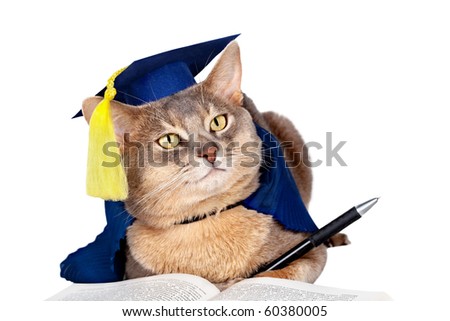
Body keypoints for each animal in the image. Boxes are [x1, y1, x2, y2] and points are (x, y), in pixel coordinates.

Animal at [81, 40, 348, 288]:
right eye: (168, 140)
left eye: (218, 122)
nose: (209, 151)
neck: (207, 219)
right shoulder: (135, 275)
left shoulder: (308, 250)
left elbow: (283, 273)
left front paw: (237, 284)